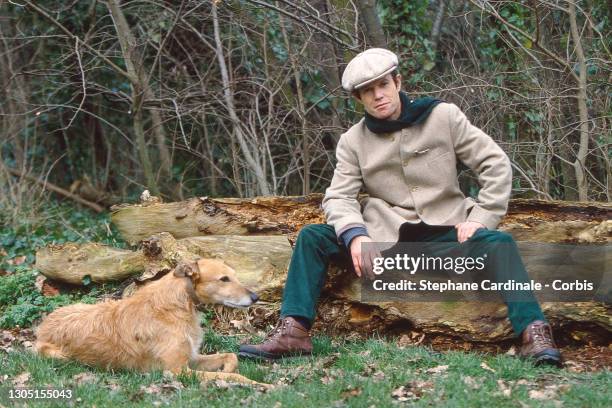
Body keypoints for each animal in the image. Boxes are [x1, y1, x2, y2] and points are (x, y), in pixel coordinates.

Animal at [34, 260, 266, 388]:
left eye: (234, 276)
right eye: (224, 279)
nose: (256, 297)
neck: (179, 303)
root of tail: (42, 327)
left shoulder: (191, 359)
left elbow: (231, 357)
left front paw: (229, 366)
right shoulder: (176, 371)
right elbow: (235, 376)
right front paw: (262, 384)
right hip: (57, 355)